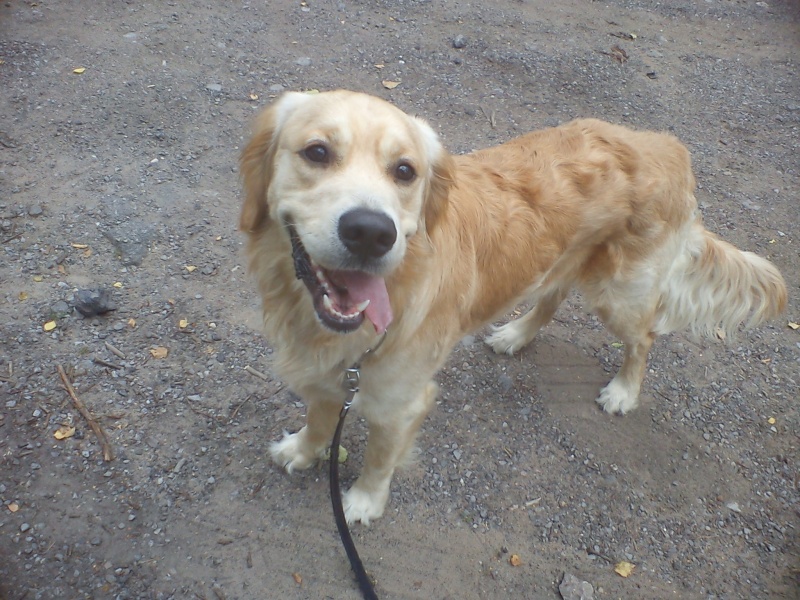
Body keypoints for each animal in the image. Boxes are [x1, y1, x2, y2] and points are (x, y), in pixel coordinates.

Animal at [239, 89, 788, 524]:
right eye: (317, 152)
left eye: (404, 171)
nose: (372, 233)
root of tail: (666, 144)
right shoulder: (328, 372)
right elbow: (319, 418)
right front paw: (303, 450)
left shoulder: (400, 401)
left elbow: (378, 457)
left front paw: (362, 503)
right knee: (552, 296)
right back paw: (515, 335)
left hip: (619, 294)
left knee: (644, 338)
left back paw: (623, 391)